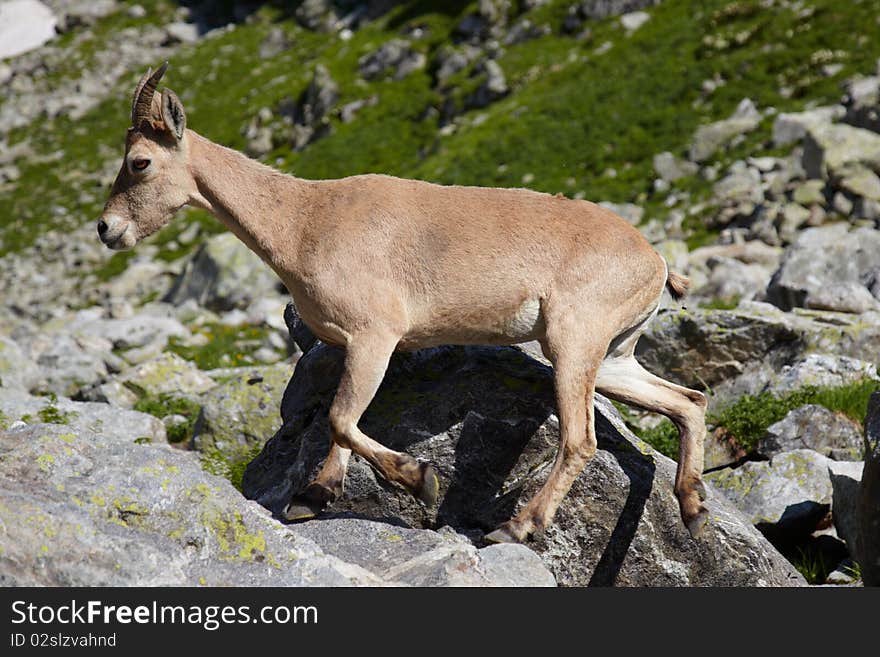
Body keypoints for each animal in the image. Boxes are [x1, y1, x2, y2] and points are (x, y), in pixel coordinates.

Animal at [101, 64, 708, 540]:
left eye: (139, 162)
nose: (107, 229)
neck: (304, 221)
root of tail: (655, 263)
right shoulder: (356, 345)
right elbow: (340, 419)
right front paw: (314, 496)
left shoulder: (376, 334)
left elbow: (341, 418)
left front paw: (420, 480)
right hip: (613, 355)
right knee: (689, 400)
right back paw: (693, 507)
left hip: (572, 339)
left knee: (581, 439)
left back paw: (516, 527)